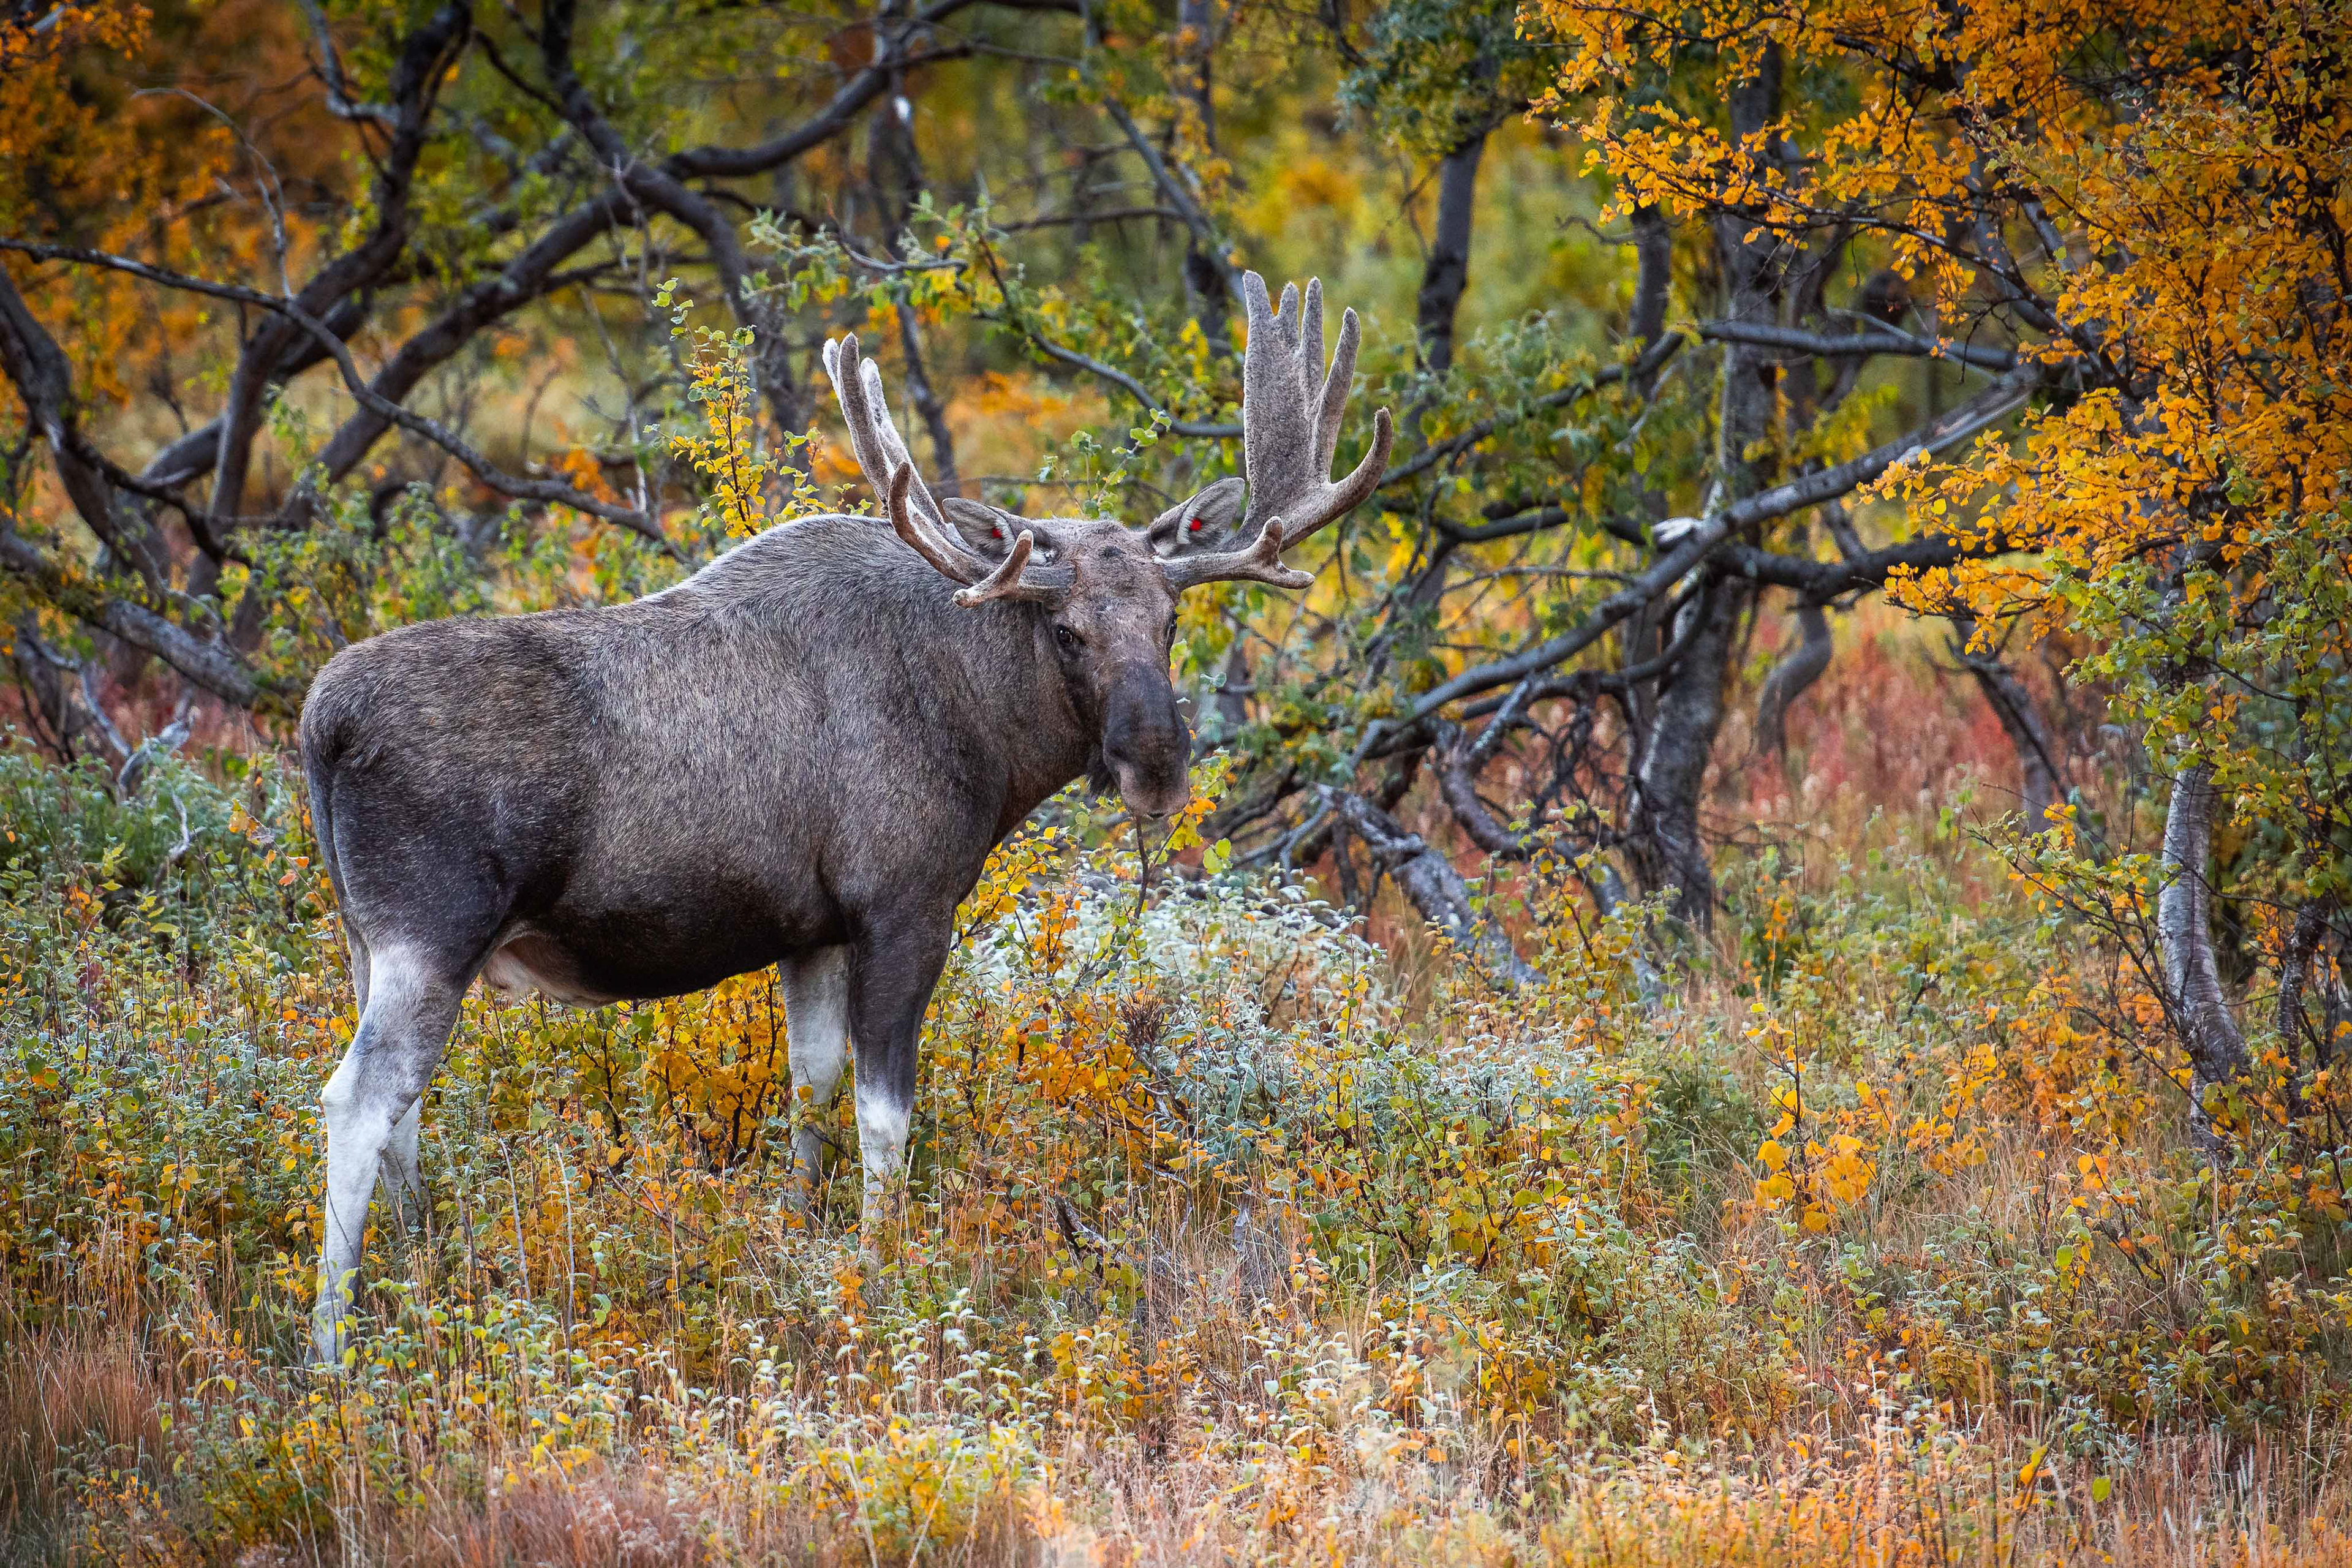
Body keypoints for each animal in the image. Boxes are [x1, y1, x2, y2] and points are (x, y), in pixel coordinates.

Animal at [297, 273, 1391, 1364]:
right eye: (1068, 630)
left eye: (1170, 622)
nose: (1157, 765)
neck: (985, 733)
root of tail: (321, 724)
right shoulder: (904, 906)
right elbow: (886, 1119)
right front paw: (882, 1275)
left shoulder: (811, 930)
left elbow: (810, 1093)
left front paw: (798, 1242)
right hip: (431, 928)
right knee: (356, 1100)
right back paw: (332, 1343)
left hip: (367, 938)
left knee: (403, 1110)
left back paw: (423, 1265)